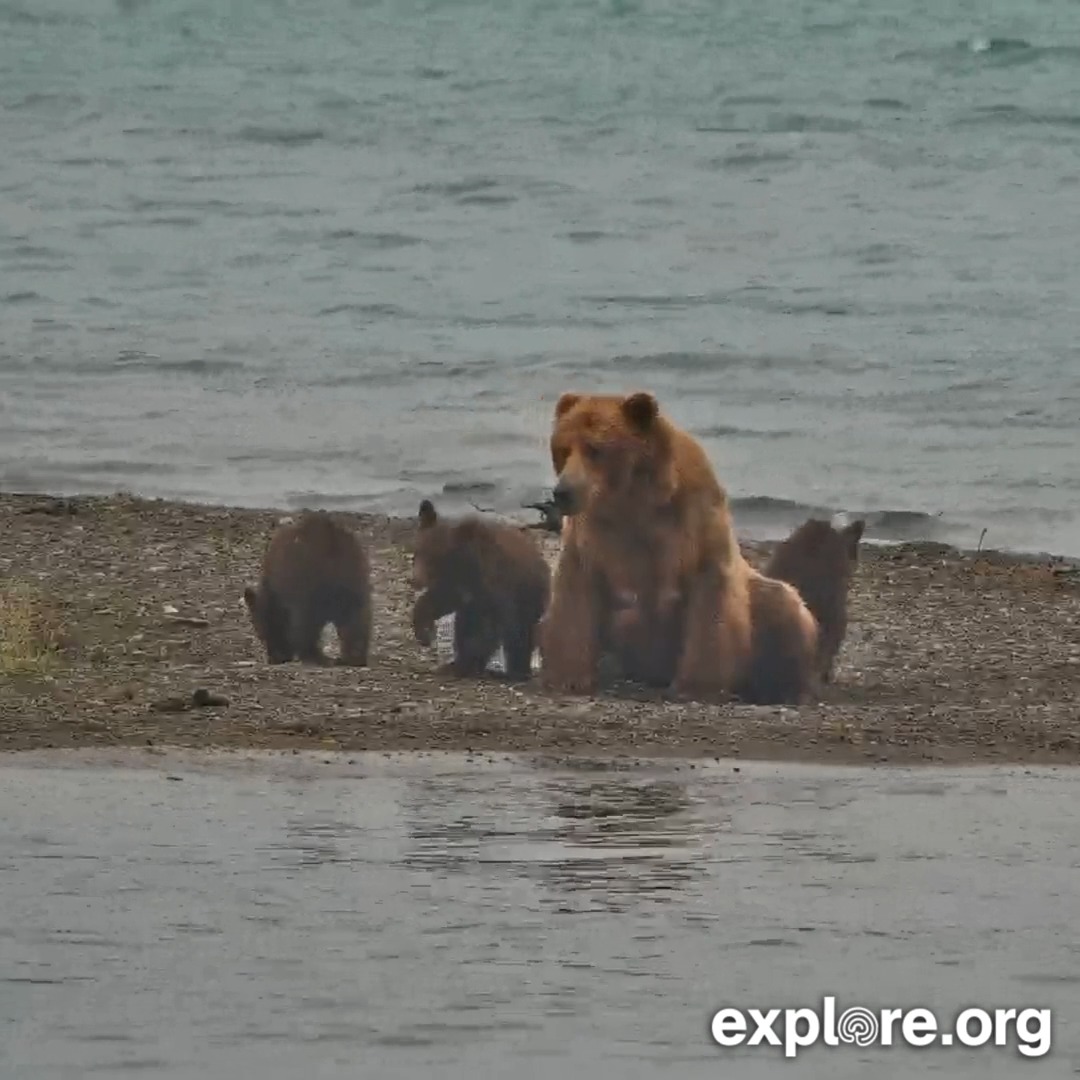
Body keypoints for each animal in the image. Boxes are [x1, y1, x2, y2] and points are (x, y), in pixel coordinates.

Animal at [243, 510, 372, 666]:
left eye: (262, 632)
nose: (274, 659)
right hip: (353, 577)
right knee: (357, 617)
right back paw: (353, 657)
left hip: (306, 581)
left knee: (305, 622)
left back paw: (315, 656)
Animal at [410, 499, 551, 681]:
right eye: (417, 551)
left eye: (433, 558)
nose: (415, 580)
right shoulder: (456, 583)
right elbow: (441, 599)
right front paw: (425, 632)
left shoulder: (494, 581)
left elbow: (489, 625)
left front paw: (465, 663)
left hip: (529, 596)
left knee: (519, 635)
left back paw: (514, 671)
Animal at [539, 390, 754, 698]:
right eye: (563, 449)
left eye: (595, 449)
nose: (563, 492)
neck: (636, 499)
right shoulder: (594, 536)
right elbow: (575, 592)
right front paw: (567, 676)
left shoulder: (693, 525)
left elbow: (711, 599)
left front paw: (697, 684)